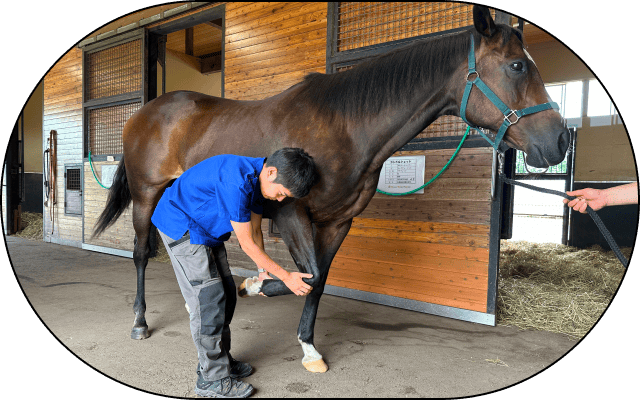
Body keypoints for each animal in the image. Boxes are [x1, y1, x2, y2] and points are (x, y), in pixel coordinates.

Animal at [92, 5, 568, 376]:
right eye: (517, 66)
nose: (560, 141)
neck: (345, 127)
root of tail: (144, 113)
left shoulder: (338, 221)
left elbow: (318, 281)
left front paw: (306, 346)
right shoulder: (291, 214)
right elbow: (309, 276)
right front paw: (259, 287)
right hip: (146, 193)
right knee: (141, 253)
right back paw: (140, 321)